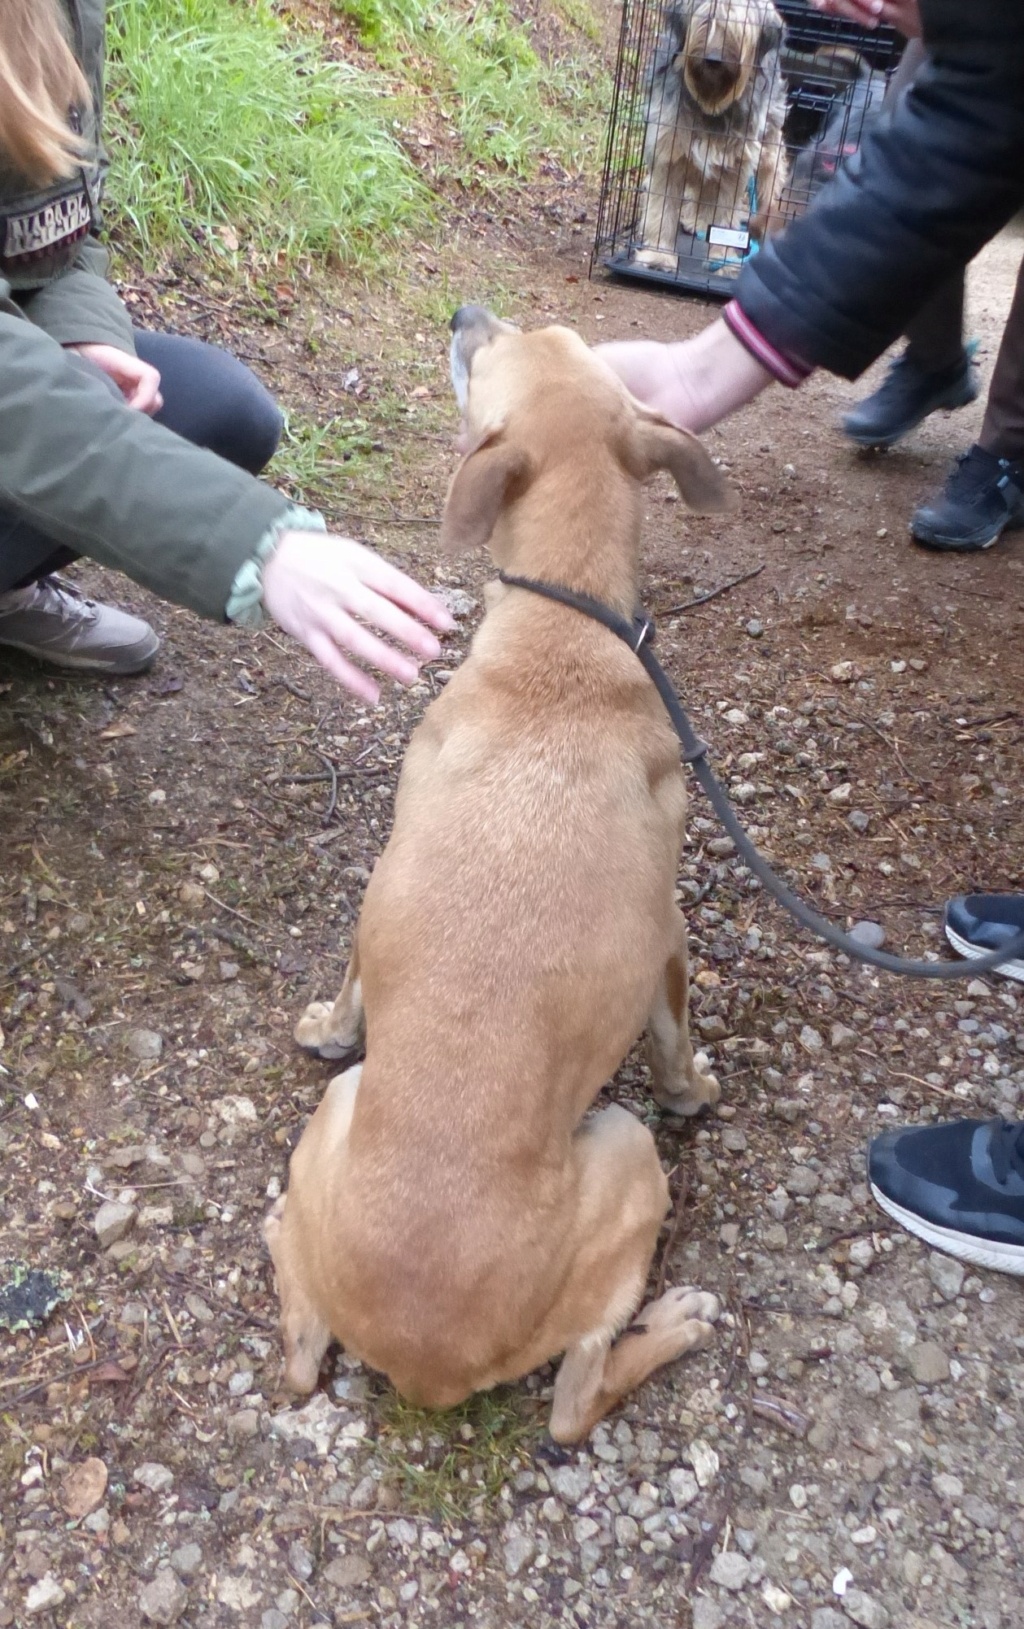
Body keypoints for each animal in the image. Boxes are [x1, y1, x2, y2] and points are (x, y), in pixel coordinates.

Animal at [631, 0, 791, 270]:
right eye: (705, 21)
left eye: (736, 29)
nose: (712, 60)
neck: (710, 103)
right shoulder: (668, 153)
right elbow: (662, 210)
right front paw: (659, 255)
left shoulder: (736, 165)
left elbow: (724, 217)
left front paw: (723, 259)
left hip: (768, 142)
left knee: (771, 175)